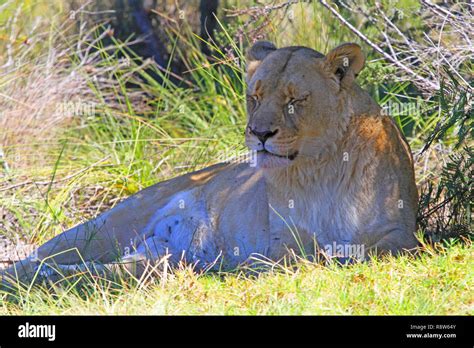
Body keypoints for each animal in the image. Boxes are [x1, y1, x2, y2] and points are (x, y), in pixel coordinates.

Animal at [2, 41, 418, 286]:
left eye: (295, 100)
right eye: (255, 97)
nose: (259, 133)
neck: (320, 167)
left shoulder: (402, 233)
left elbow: (378, 249)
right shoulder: (280, 240)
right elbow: (298, 256)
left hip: (161, 260)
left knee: (100, 272)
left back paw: (50, 279)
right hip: (106, 226)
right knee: (41, 255)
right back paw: (22, 276)